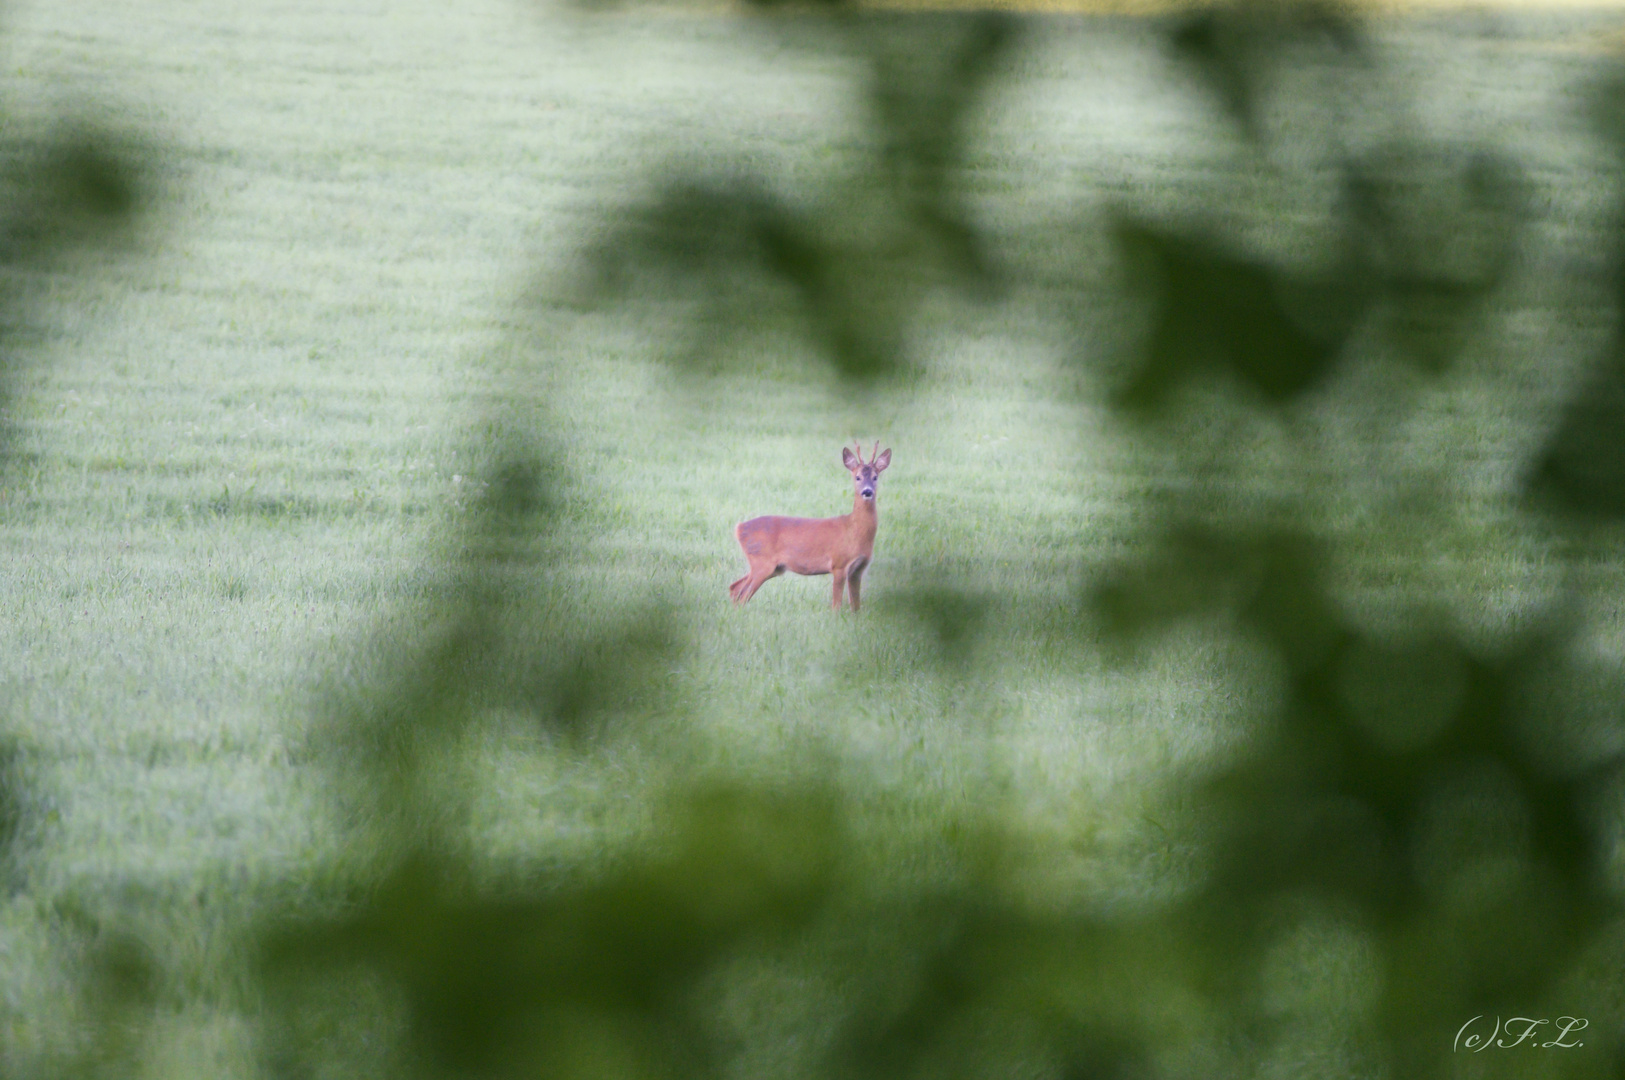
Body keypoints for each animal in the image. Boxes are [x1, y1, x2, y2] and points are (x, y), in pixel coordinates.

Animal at [731, 438, 897, 607]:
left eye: (875, 477)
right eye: (858, 477)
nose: (867, 491)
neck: (854, 530)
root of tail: (739, 528)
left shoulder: (858, 570)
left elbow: (856, 606)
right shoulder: (839, 564)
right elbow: (836, 605)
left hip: (774, 567)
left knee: (735, 587)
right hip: (762, 562)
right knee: (742, 593)